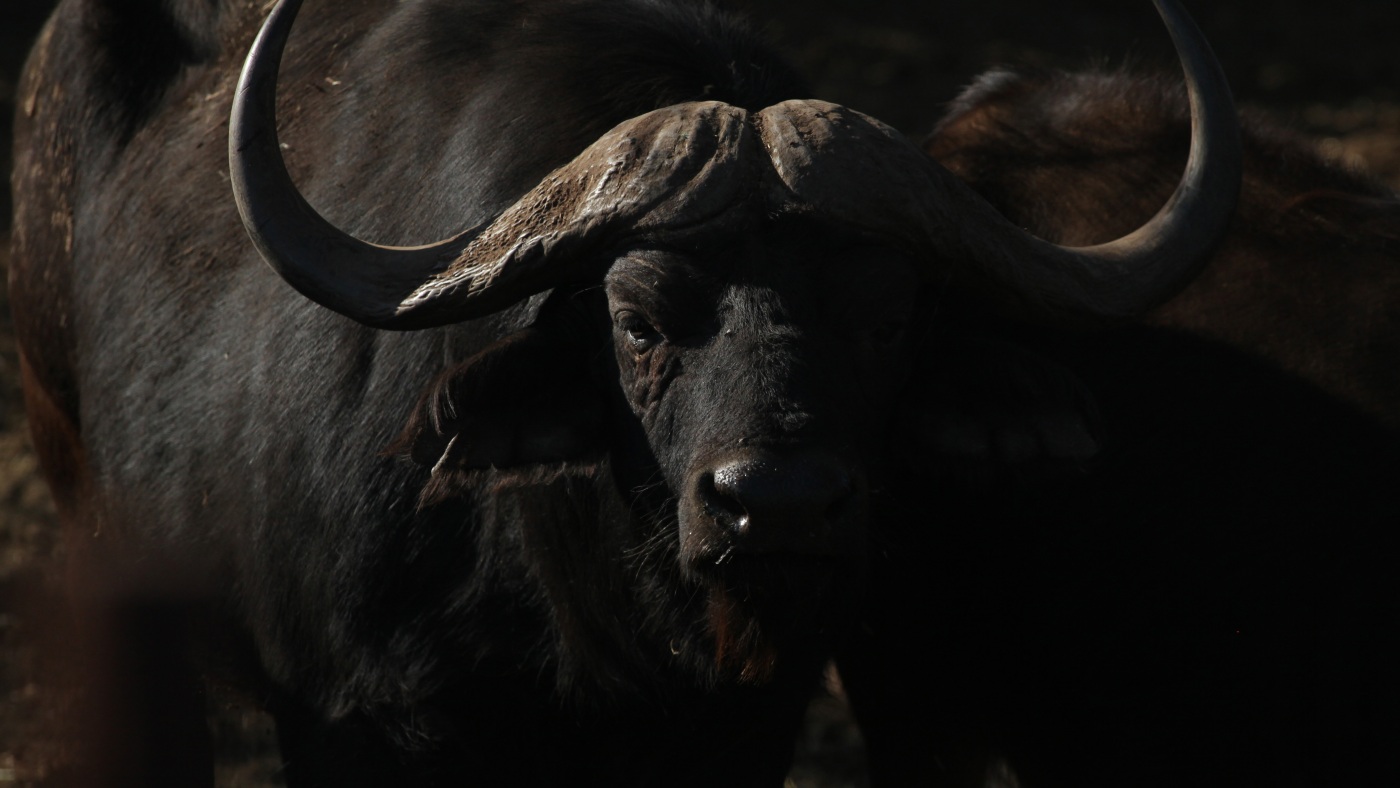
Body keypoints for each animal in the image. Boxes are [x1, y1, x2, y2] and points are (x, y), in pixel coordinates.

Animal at [8, 0, 1239, 784]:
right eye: (638, 321)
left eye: (887, 320)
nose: (776, 505)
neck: (589, 616)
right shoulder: (358, 722)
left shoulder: (742, 728)